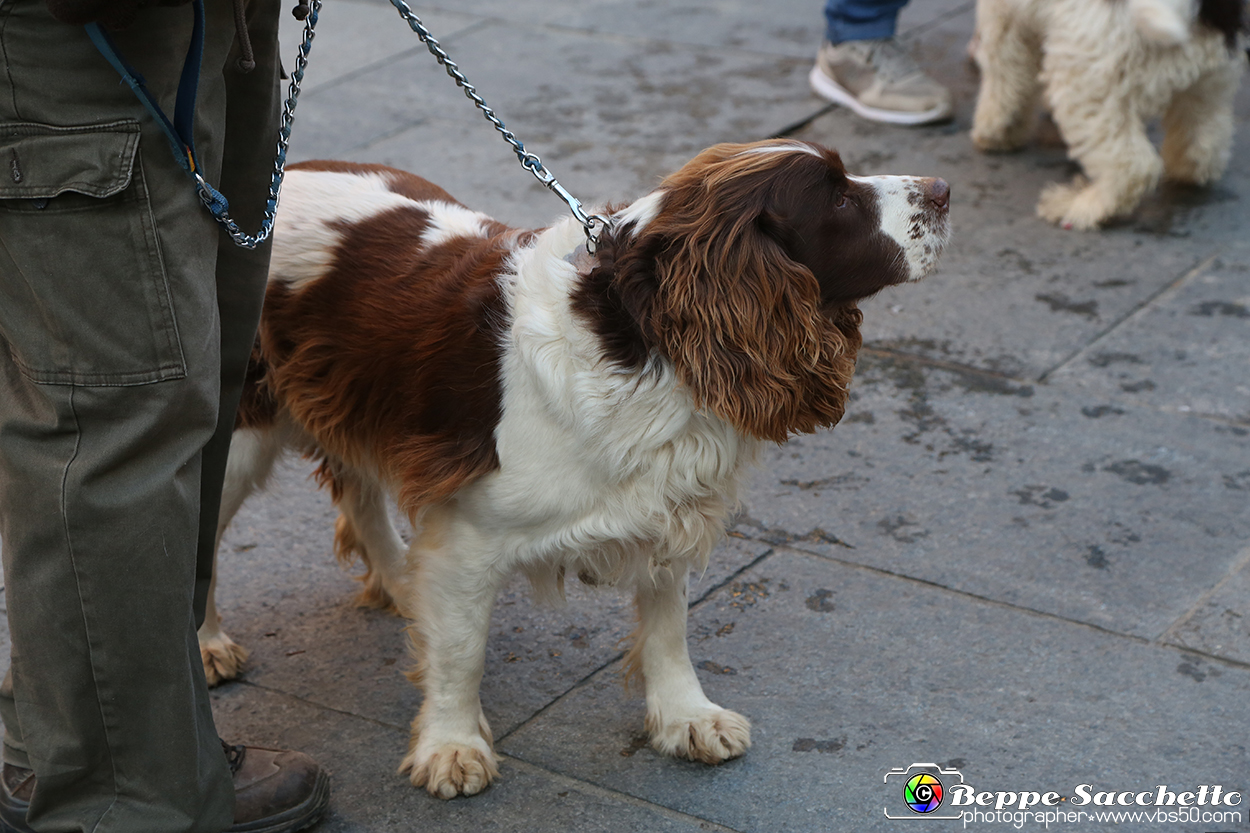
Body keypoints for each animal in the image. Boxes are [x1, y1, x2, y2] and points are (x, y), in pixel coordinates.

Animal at [200, 139, 950, 795]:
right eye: (838, 197)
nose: (944, 189)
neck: (646, 341)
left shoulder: (665, 500)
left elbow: (669, 626)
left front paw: (686, 717)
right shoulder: (469, 534)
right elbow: (463, 651)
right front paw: (451, 745)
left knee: (357, 489)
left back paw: (401, 585)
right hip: (237, 434)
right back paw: (207, 645)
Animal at [970, 0, 1245, 228]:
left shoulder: (1002, 15)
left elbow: (1004, 69)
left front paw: (996, 131)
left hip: (1087, 76)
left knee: (1132, 166)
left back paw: (1085, 206)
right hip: (1210, 77)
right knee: (1205, 141)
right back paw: (1186, 171)